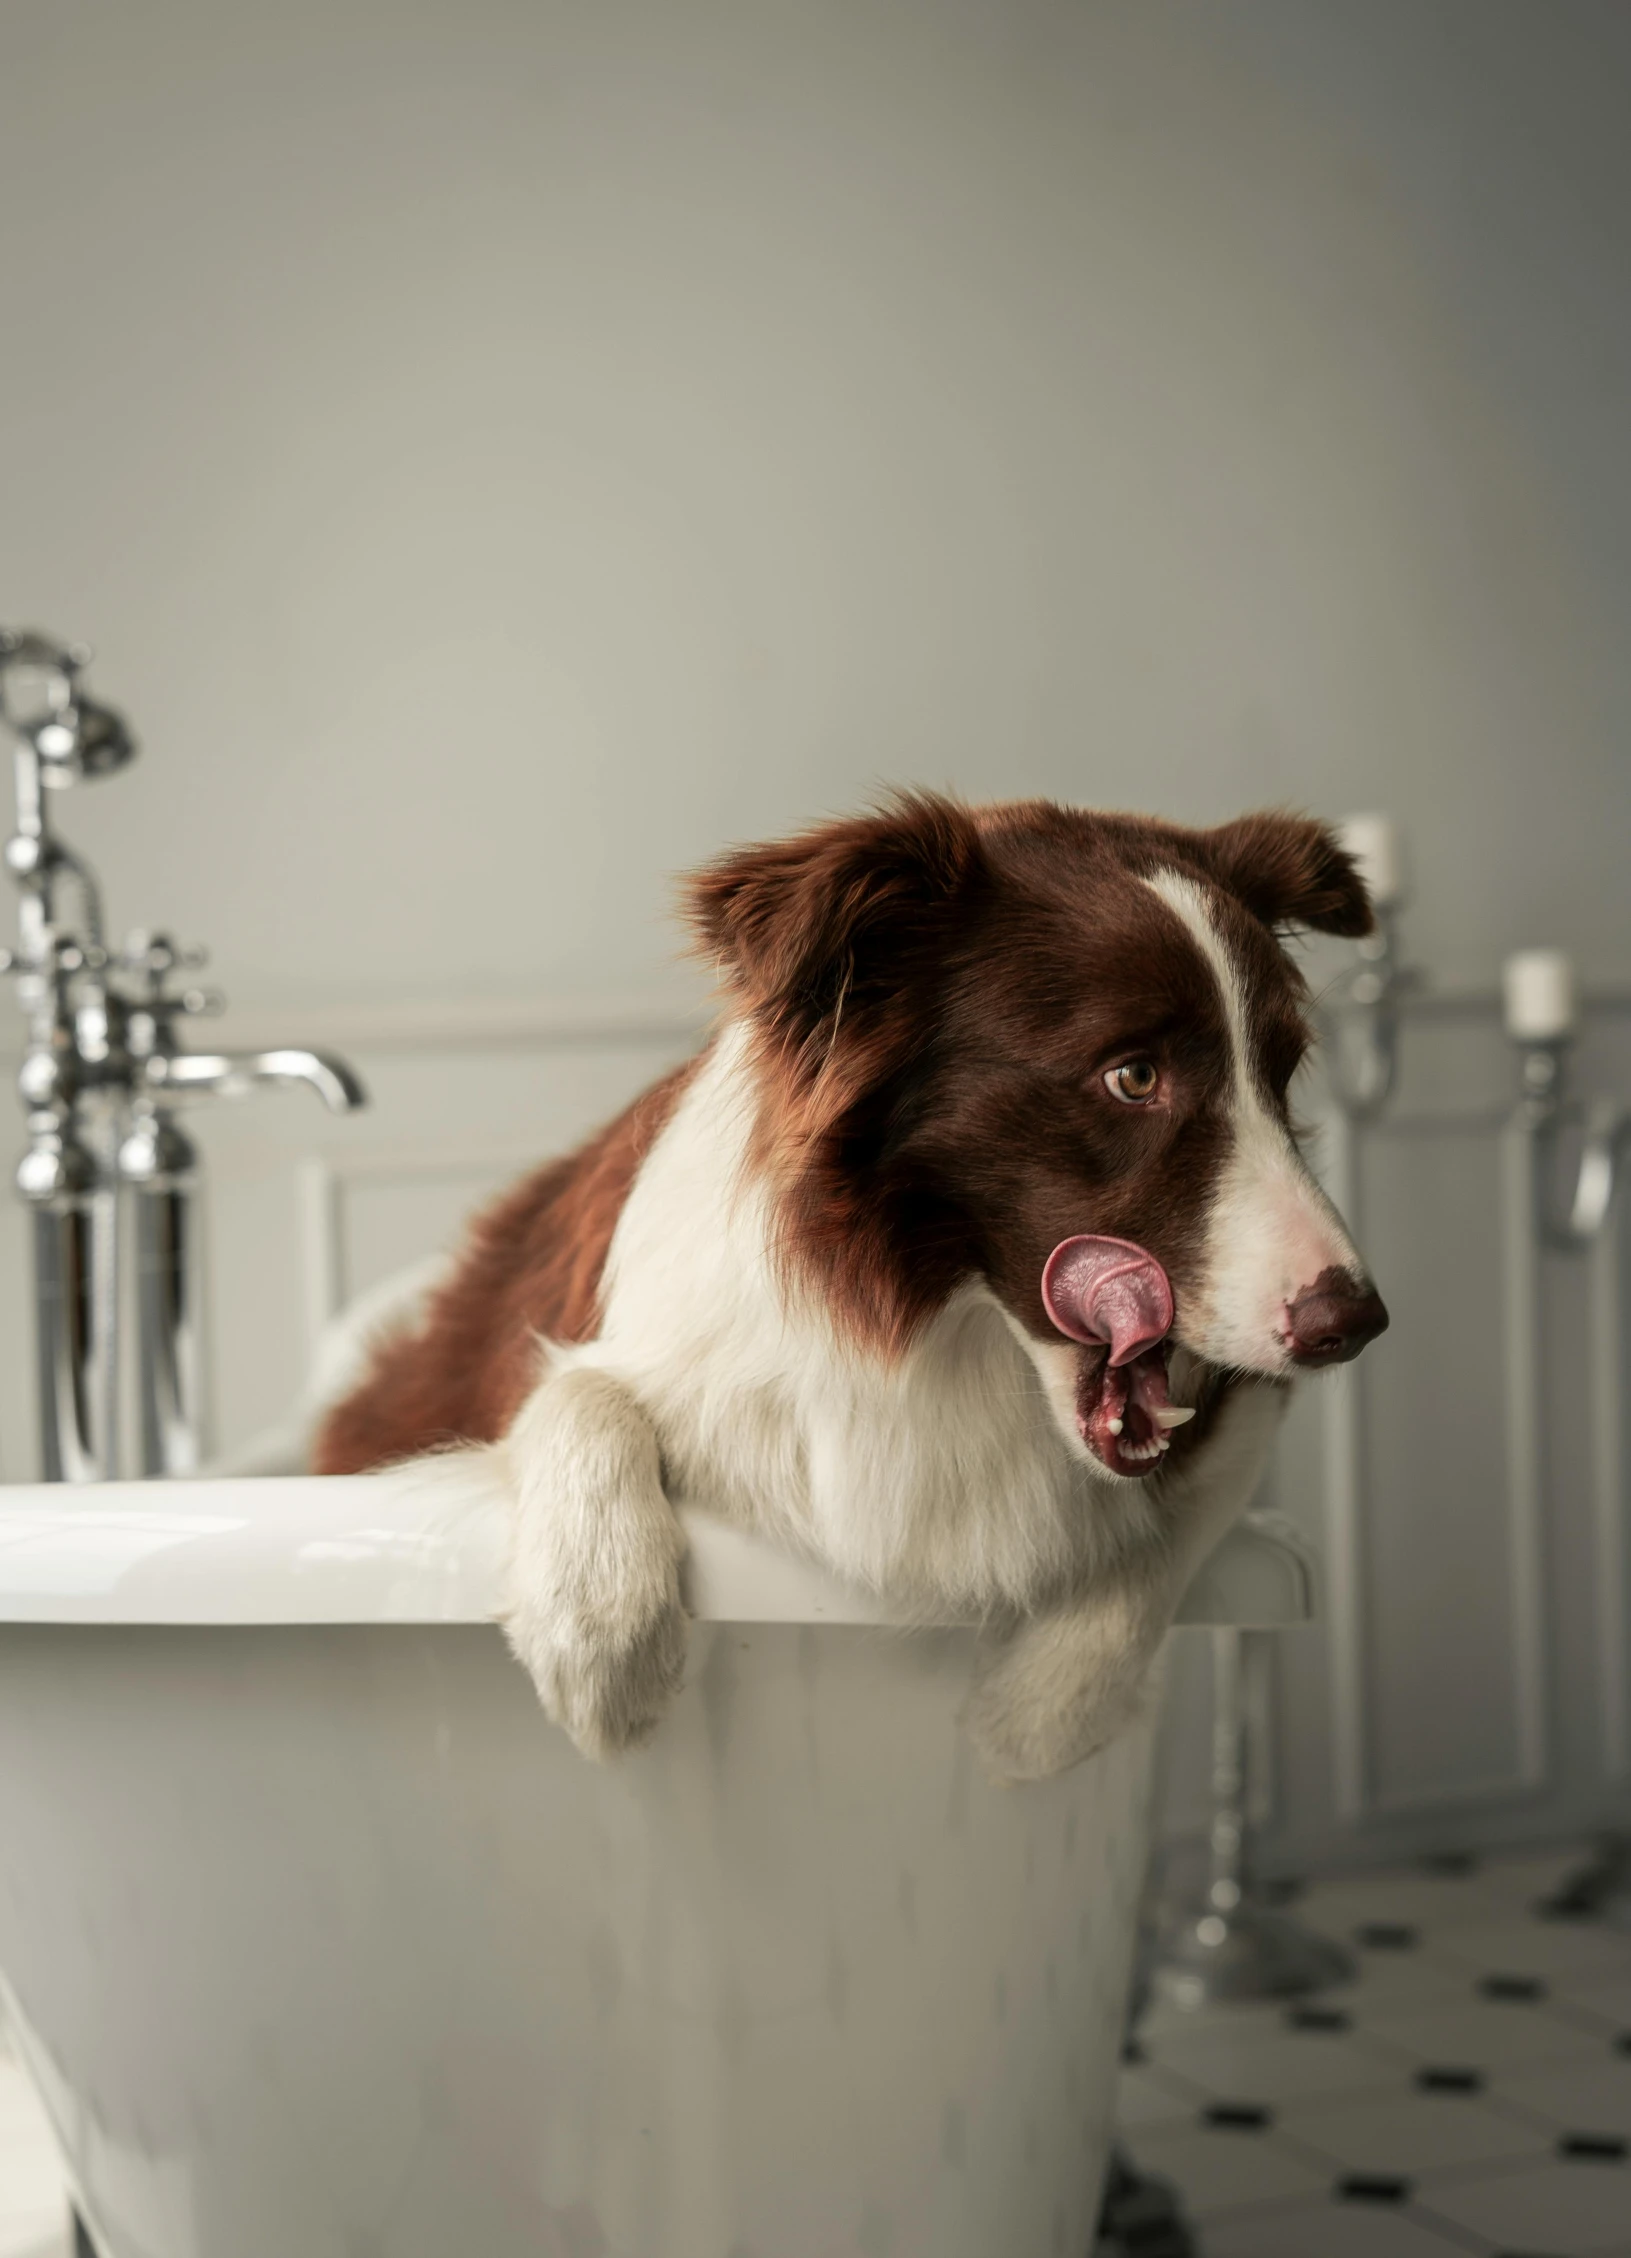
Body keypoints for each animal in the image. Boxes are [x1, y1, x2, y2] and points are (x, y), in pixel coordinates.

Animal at [318, 794, 1382, 1779]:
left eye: (1280, 1074)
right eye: (1131, 1076)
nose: (1357, 1324)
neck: (939, 1322)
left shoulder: (1241, 1397)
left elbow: (1172, 1519)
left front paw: (1036, 1718)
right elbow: (580, 1390)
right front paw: (599, 1640)